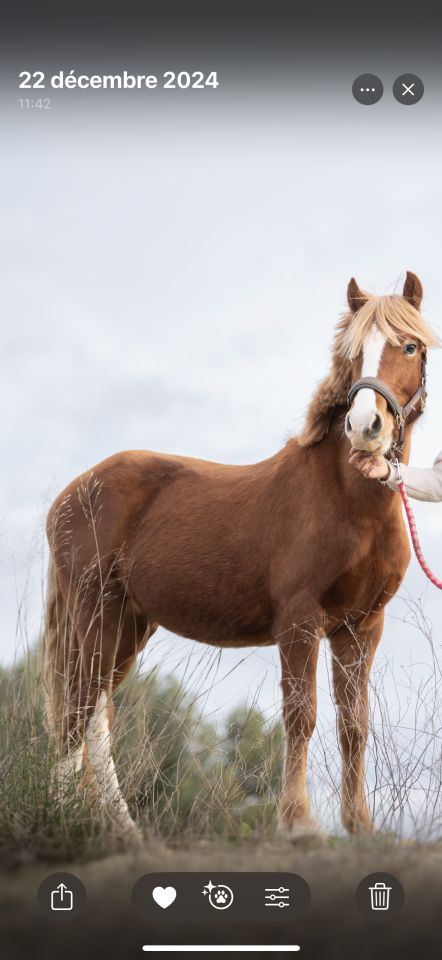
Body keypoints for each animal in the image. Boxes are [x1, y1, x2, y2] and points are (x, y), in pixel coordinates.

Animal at [41, 271, 439, 842]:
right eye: (351, 351)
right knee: (77, 714)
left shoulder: (362, 626)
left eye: (410, 346)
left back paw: (121, 829)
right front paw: (300, 824)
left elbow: (354, 724)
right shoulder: (299, 621)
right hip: (98, 616)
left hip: (129, 625)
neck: (346, 500)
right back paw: (70, 824)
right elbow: (301, 714)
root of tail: (72, 493)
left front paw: (359, 826)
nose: (366, 426)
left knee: (96, 716)